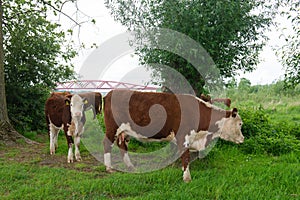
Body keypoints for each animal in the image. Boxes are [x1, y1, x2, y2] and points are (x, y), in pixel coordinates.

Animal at [103, 90, 244, 182]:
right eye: (240, 124)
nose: (243, 139)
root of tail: (110, 93)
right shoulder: (184, 137)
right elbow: (185, 157)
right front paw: (187, 178)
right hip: (112, 128)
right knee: (107, 144)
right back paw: (109, 168)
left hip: (125, 132)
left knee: (122, 146)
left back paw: (130, 166)